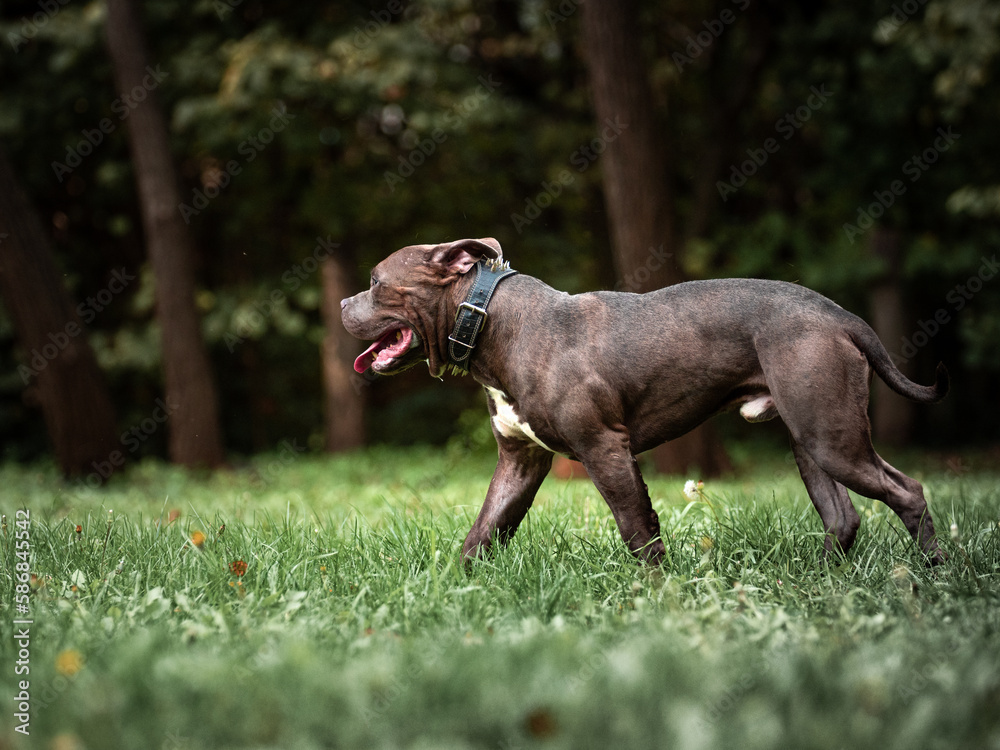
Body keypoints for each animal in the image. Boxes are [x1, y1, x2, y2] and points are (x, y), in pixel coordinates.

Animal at [342, 238, 944, 568]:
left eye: (375, 282)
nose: (345, 303)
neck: (492, 320)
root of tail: (839, 315)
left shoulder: (606, 449)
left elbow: (636, 528)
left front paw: (655, 596)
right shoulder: (520, 462)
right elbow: (483, 532)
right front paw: (452, 586)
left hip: (832, 437)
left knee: (908, 491)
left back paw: (934, 573)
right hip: (811, 442)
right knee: (842, 516)